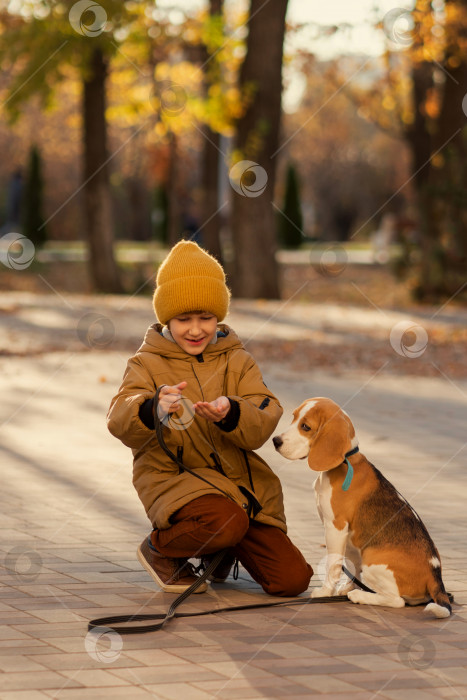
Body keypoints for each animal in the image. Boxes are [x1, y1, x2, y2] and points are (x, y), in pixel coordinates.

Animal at [274, 400, 454, 616]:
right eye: (293, 417)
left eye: (305, 427)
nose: (275, 440)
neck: (345, 462)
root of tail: (435, 575)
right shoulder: (349, 539)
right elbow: (352, 566)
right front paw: (345, 587)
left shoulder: (335, 527)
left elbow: (333, 564)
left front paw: (325, 592)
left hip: (372, 561)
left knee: (397, 601)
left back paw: (360, 596)